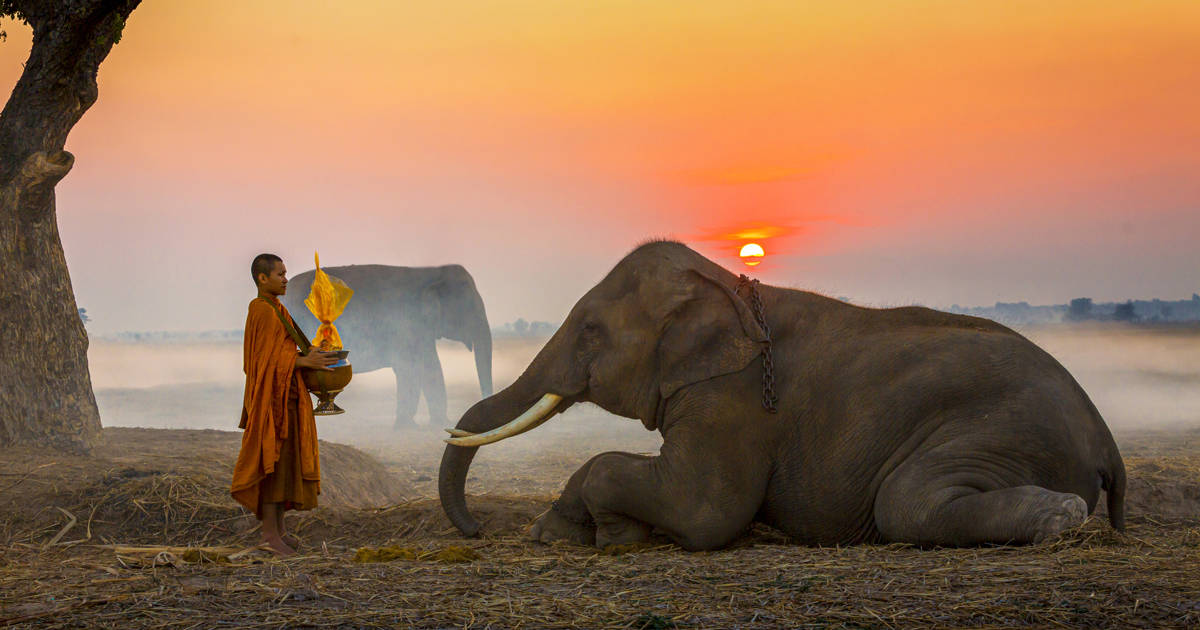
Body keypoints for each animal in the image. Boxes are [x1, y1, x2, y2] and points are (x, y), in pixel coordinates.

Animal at [284, 264, 493, 429]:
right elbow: (417, 367)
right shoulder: (407, 323)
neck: (432, 272)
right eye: (468, 307)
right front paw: (415, 426)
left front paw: (432, 423)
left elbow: (425, 366)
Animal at [439, 240, 1126, 550]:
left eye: (589, 330)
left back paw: (1062, 518)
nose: (476, 530)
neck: (726, 284)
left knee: (906, 503)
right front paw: (556, 531)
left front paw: (609, 534)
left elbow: (705, 509)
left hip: (1001, 430)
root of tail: (1106, 441)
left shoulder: (731, 397)